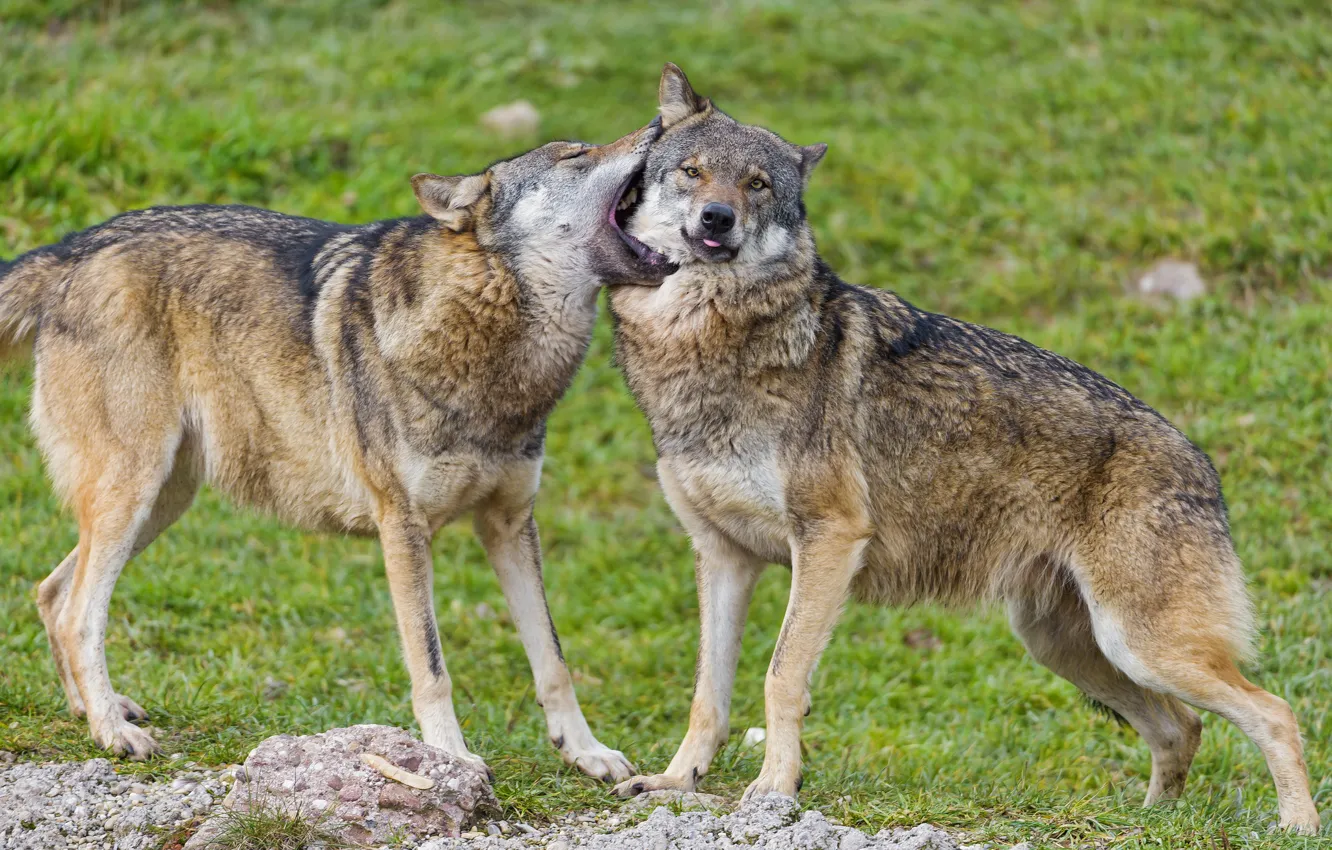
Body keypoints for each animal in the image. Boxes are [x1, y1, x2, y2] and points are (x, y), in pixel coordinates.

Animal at [0, 116, 671, 783]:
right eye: (575, 155)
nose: (660, 122)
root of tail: (75, 247)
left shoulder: (509, 523)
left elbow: (553, 660)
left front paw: (586, 752)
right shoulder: (403, 527)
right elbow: (432, 667)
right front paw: (450, 757)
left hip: (163, 502)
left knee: (52, 593)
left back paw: (96, 711)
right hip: (133, 495)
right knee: (81, 613)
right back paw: (112, 732)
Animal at [610, 66, 1321, 842]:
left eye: (758, 184)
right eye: (693, 172)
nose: (718, 219)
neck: (704, 346)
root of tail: (1204, 463)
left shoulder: (828, 539)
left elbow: (781, 676)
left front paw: (773, 791)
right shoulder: (722, 557)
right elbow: (707, 694)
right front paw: (675, 780)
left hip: (1137, 644)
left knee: (1274, 713)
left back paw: (1297, 826)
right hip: (1069, 646)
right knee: (1182, 728)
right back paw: (1150, 824)